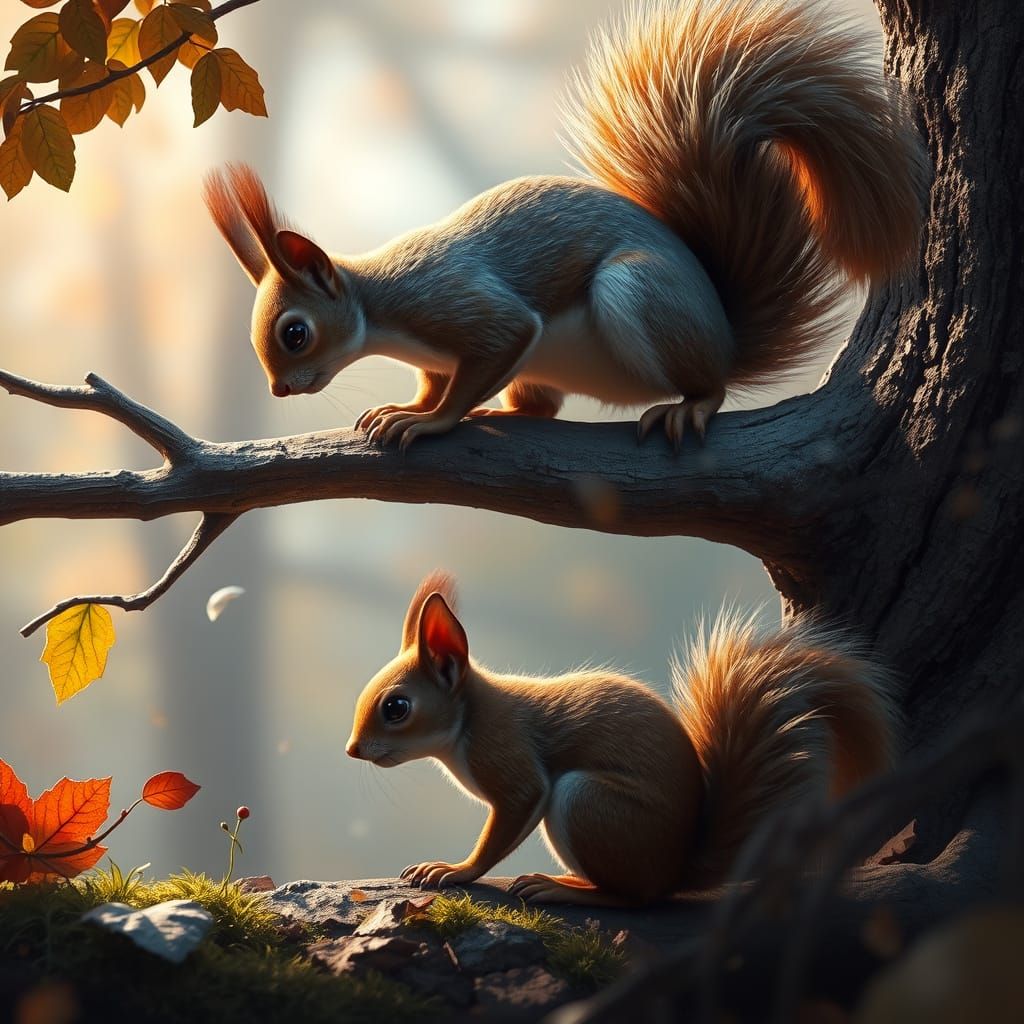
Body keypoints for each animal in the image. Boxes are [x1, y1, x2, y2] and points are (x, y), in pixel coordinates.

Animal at [204, 0, 927, 450]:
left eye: (295, 333)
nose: (279, 388)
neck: (380, 310)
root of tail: (724, 336)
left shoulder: (456, 304)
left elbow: (498, 338)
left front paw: (432, 423)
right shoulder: (437, 356)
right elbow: (436, 380)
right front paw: (410, 407)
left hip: (640, 295)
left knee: (709, 385)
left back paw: (691, 404)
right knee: (541, 405)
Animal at [345, 572, 897, 906]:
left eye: (397, 708)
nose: (352, 750)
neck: (469, 716)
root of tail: (676, 869)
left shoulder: (507, 753)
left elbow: (515, 808)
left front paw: (455, 870)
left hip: (587, 802)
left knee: (633, 897)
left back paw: (566, 889)